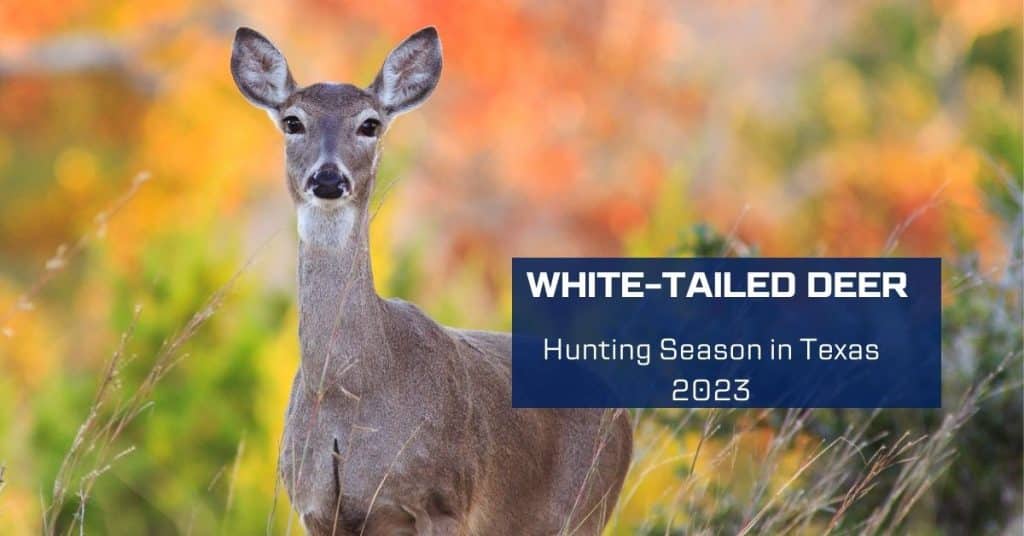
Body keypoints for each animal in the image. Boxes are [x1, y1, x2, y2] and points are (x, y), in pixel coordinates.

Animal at [230, 26, 633, 535]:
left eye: (370, 124)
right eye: (292, 122)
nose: (328, 178)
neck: (351, 389)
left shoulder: (443, 498)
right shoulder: (316, 509)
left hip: (588, 505)